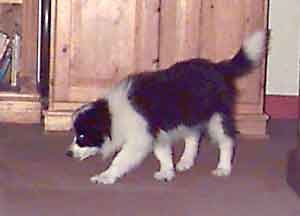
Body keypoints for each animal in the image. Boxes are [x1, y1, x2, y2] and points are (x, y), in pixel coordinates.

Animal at [65, 30, 264, 184]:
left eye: (82, 136)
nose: (68, 153)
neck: (112, 115)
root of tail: (218, 67)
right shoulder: (157, 134)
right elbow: (163, 154)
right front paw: (167, 172)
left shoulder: (139, 138)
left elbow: (121, 159)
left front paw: (105, 176)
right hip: (189, 115)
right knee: (193, 136)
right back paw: (185, 161)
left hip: (217, 116)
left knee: (226, 141)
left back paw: (223, 168)